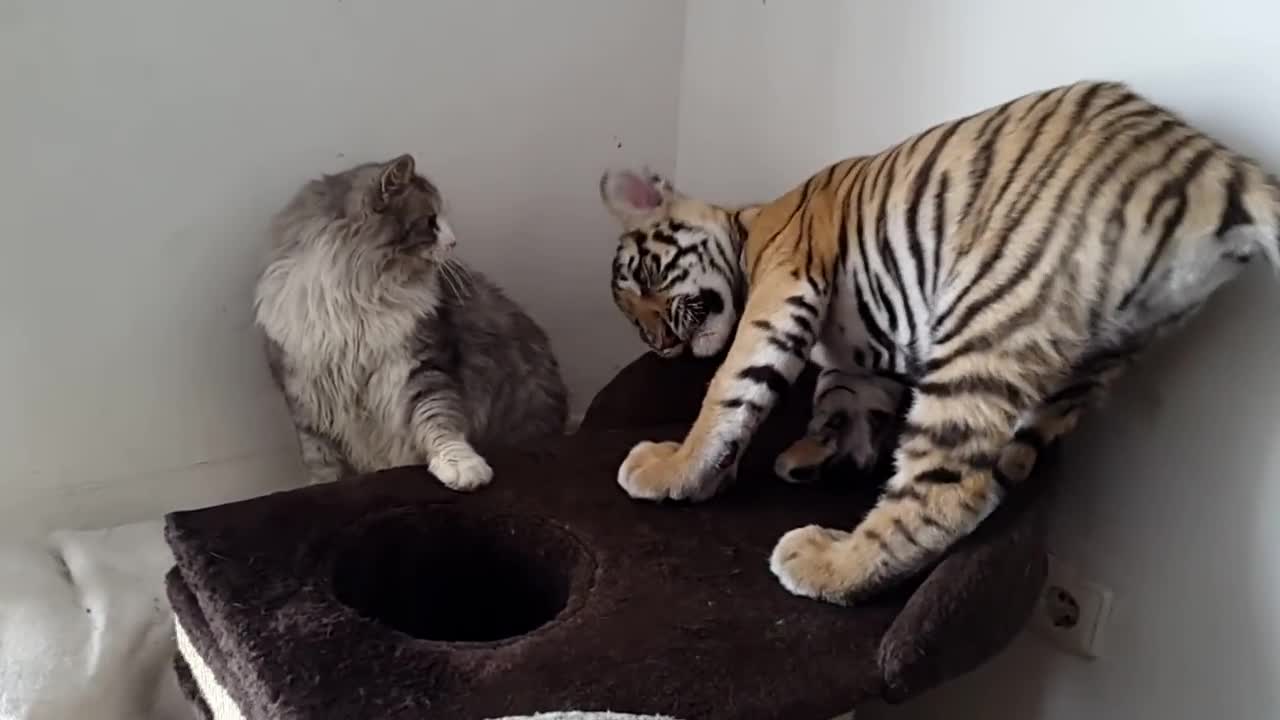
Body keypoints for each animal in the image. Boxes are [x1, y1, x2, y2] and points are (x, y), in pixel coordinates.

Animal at [252, 154, 568, 489]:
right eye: (431, 220)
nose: (454, 242)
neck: (357, 298)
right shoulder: (303, 391)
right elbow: (321, 459)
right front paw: (324, 486)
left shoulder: (421, 366)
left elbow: (439, 420)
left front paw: (463, 467)